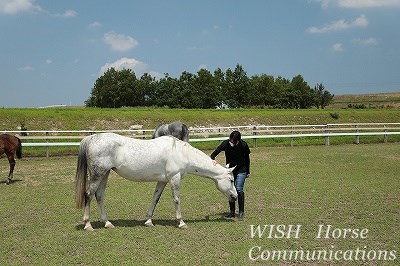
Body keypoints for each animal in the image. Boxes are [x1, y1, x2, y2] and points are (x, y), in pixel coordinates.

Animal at [76, 133, 238, 231]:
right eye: (231, 180)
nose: (235, 197)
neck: (181, 153)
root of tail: (91, 138)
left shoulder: (162, 181)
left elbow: (155, 198)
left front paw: (148, 221)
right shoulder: (174, 179)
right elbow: (176, 200)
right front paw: (181, 222)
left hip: (105, 174)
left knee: (99, 196)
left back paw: (107, 223)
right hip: (97, 175)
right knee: (88, 195)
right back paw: (88, 224)